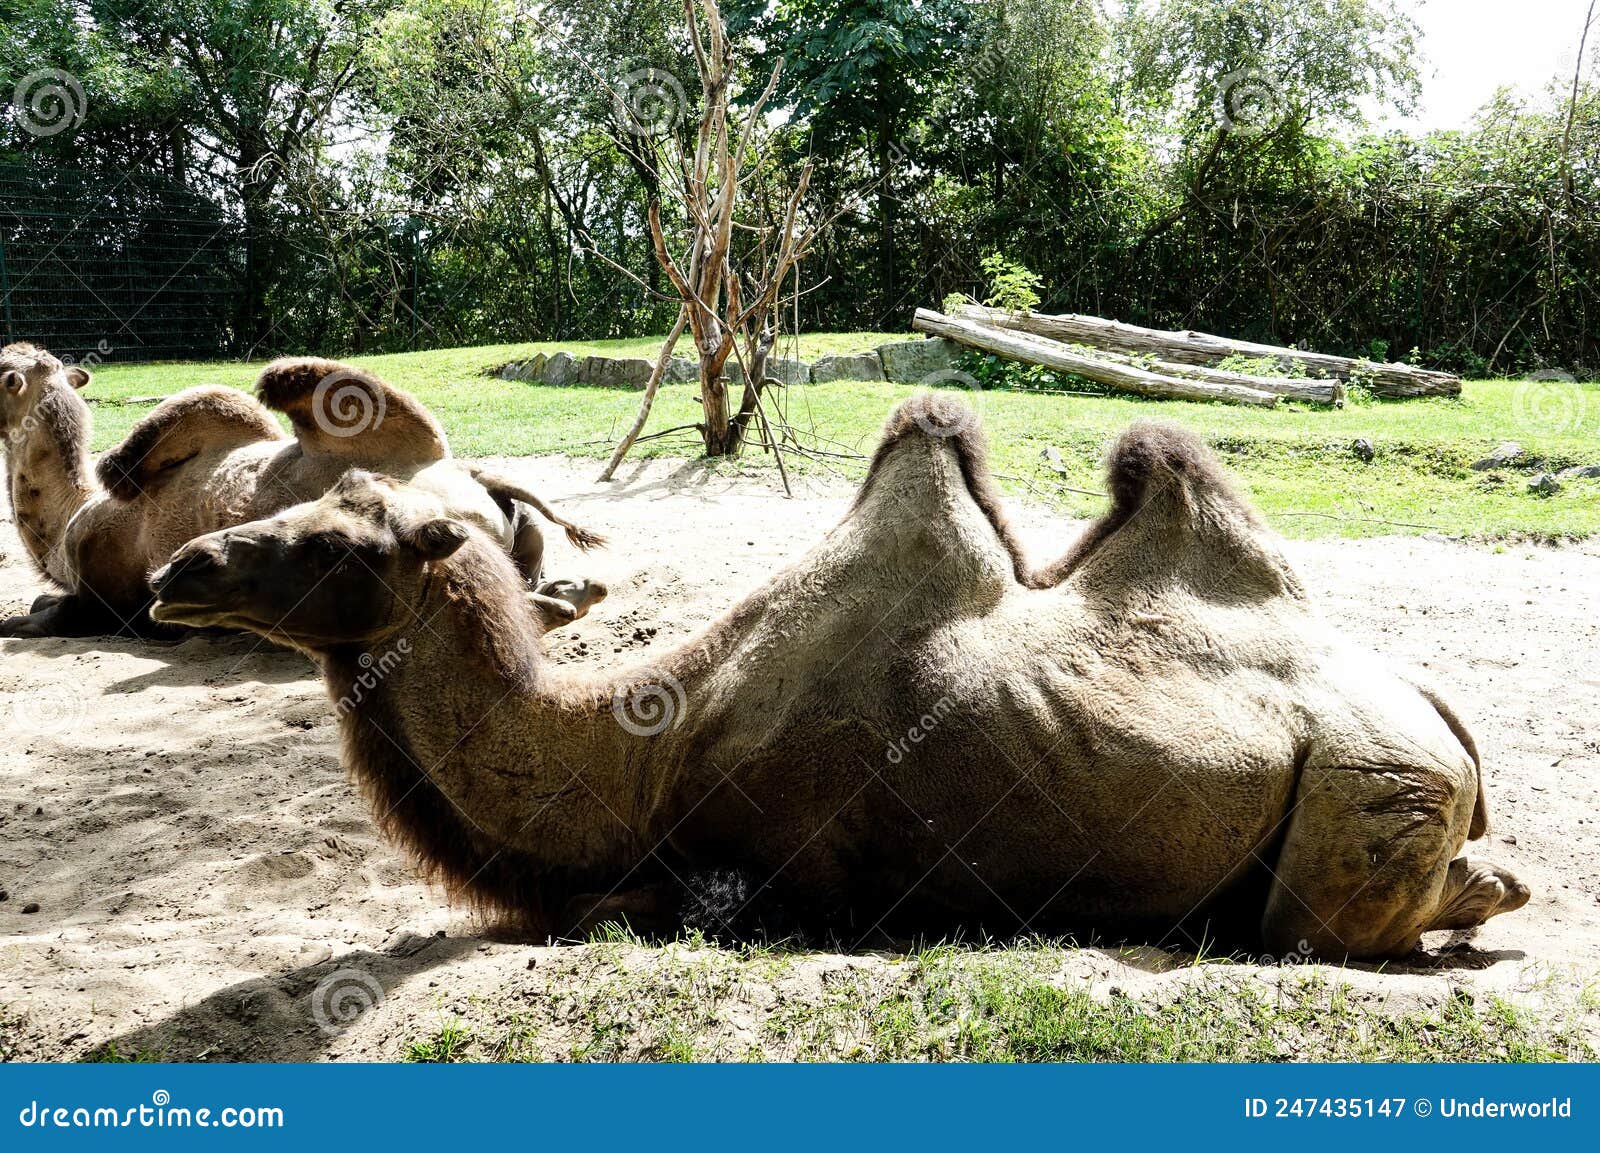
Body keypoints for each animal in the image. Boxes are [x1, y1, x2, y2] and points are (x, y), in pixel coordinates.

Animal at [3, 342, 601, 639]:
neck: (69, 526)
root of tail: (481, 482)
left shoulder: (102, 597)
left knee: (284, 380)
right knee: (540, 592)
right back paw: (576, 589)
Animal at [147, 391, 1523, 959]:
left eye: (340, 541)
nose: (179, 569)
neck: (640, 753)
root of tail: (1441, 718)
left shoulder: (771, 878)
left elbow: (620, 912)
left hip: (1365, 786)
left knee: (1338, 919)